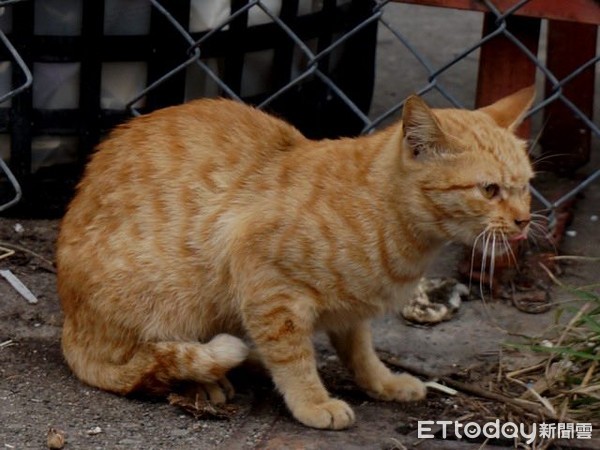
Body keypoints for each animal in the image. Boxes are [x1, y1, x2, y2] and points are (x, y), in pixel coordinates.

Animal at [56, 87, 536, 428]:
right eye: (489, 189)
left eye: (527, 185)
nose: (525, 220)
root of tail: (70, 329)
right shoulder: (267, 285)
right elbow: (292, 357)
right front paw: (313, 402)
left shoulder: (351, 312)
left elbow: (360, 351)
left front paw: (382, 383)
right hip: (172, 304)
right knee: (146, 362)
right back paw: (205, 382)